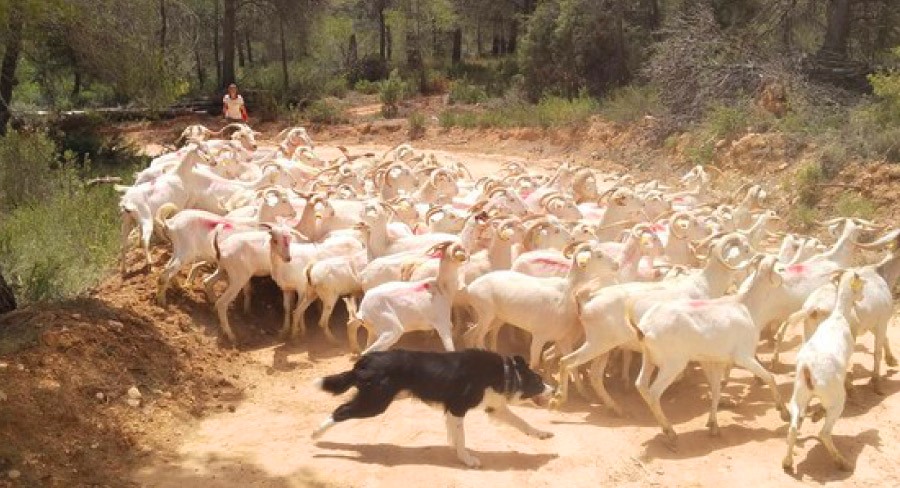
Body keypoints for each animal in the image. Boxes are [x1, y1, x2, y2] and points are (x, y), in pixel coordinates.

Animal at [312, 348, 556, 468]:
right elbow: (462, 438)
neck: (507, 372)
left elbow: (522, 422)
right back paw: (317, 435)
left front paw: (542, 434)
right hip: (375, 403)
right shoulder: (458, 408)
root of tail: (365, 361)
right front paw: (467, 459)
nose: (553, 390)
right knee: (340, 411)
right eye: (538, 382)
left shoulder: (493, 407)